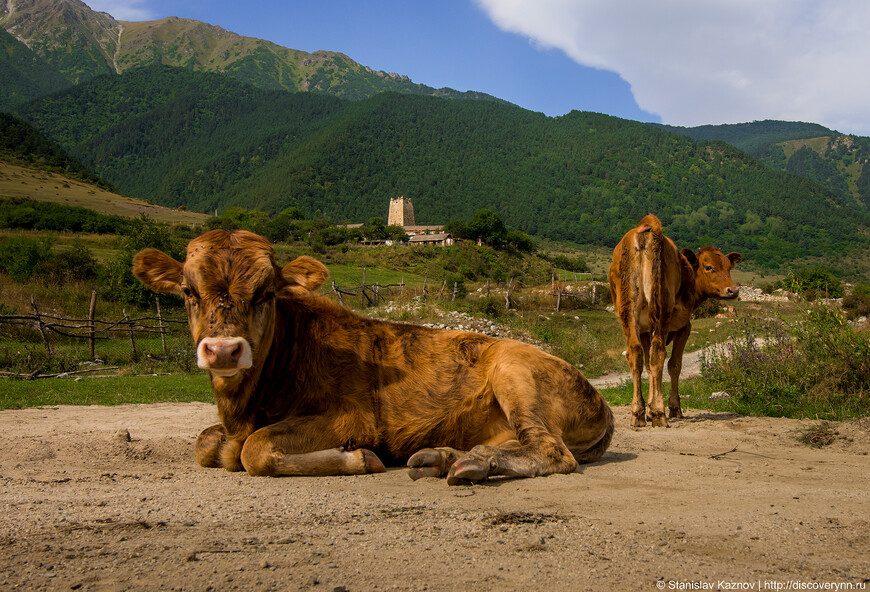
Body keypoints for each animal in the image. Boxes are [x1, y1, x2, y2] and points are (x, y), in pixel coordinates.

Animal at [133, 229, 616, 484]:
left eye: (266, 293)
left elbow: (254, 450)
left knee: (552, 451)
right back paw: (441, 457)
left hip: (514, 371)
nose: (223, 349)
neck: (245, 407)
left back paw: (469, 462)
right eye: (187, 291)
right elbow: (204, 443)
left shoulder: (352, 418)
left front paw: (358, 459)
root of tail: (603, 403)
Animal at [608, 215, 744, 428]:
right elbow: (674, 365)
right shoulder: (683, 327)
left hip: (627, 311)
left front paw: (648, 408)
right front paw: (672, 407)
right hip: (661, 311)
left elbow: (649, 367)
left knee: (635, 354)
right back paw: (659, 413)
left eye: (729, 267)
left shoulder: (645, 330)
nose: (733, 290)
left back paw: (637, 413)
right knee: (658, 354)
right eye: (709, 267)